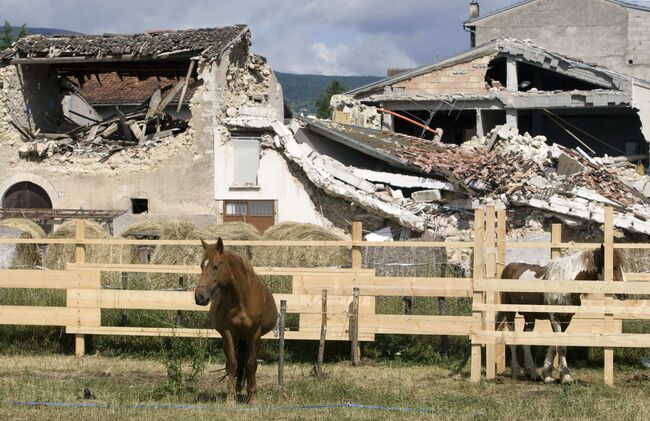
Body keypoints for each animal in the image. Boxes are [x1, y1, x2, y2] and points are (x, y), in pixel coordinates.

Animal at [191, 238, 274, 402]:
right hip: (235, 339)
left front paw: (253, 398)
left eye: (216, 267)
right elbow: (232, 364)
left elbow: (252, 365)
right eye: (202, 266)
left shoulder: (255, 334)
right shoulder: (228, 333)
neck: (242, 301)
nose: (199, 297)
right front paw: (230, 399)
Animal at [494, 243, 624, 384]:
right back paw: (516, 371)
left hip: (530, 316)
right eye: (613, 267)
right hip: (510, 312)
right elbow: (560, 347)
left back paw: (532, 373)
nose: (624, 294)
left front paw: (549, 374)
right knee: (512, 337)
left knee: (526, 342)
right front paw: (565, 377)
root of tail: (508, 267)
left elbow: (557, 345)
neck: (566, 282)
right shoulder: (554, 317)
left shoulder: (566, 319)